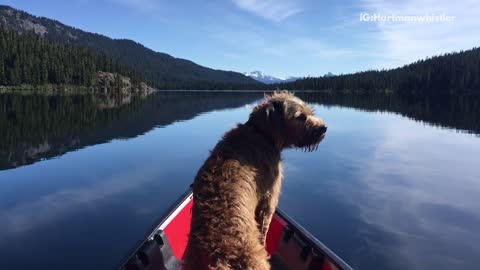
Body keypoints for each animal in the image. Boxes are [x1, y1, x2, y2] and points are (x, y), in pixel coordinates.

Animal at [184, 92, 326, 268]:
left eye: (310, 111)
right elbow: (264, 230)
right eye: (300, 116)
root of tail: (220, 255)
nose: (323, 128)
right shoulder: (269, 200)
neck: (261, 134)